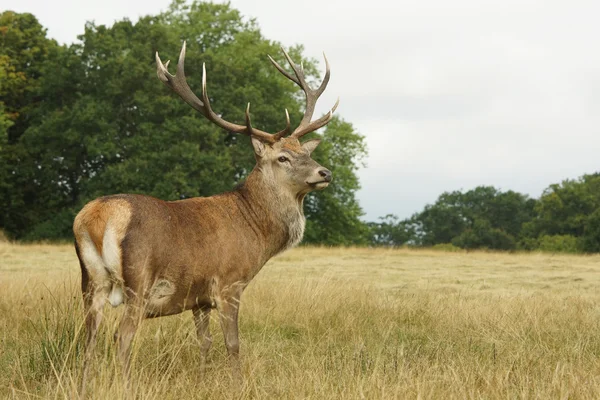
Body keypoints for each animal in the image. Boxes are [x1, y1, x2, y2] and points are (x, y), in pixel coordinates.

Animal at [71, 40, 338, 394]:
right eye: (282, 157)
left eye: (306, 152)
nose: (325, 173)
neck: (256, 230)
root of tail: (95, 218)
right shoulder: (229, 284)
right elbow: (233, 344)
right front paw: (238, 386)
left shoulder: (198, 298)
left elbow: (205, 342)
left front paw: (202, 380)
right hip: (138, 281)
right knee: (121, 337)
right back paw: (126, 388)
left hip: (90, 283)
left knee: (88, 338)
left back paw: (82, 387)